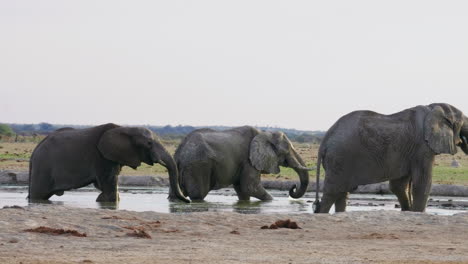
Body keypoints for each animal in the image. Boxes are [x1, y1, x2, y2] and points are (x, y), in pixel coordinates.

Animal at [28, 123, 188, 202]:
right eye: (149, 143)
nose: (188, 200)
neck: (125, 129)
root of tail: (34, 152)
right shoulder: (101, 156)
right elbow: (109, 183)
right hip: (43, 168)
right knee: (38, 194)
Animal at [169, 125, 310, 200]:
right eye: (287, 151)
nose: (293, 186)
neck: (264, 134)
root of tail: (180, 152)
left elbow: (243, 191)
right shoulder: (248, 160)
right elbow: (250, 187)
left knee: (175, 195)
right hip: (198, 166)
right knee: (199, 195)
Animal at [314, 102, 468, 213]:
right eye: (463, 124)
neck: (433, 107)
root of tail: (325, 139)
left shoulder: (408, 151)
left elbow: (398, 185)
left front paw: (407, 211)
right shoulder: (422, 147)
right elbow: (422, 183)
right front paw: (416, 213)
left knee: (341, 193)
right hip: (339, 158)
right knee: (332, 192)